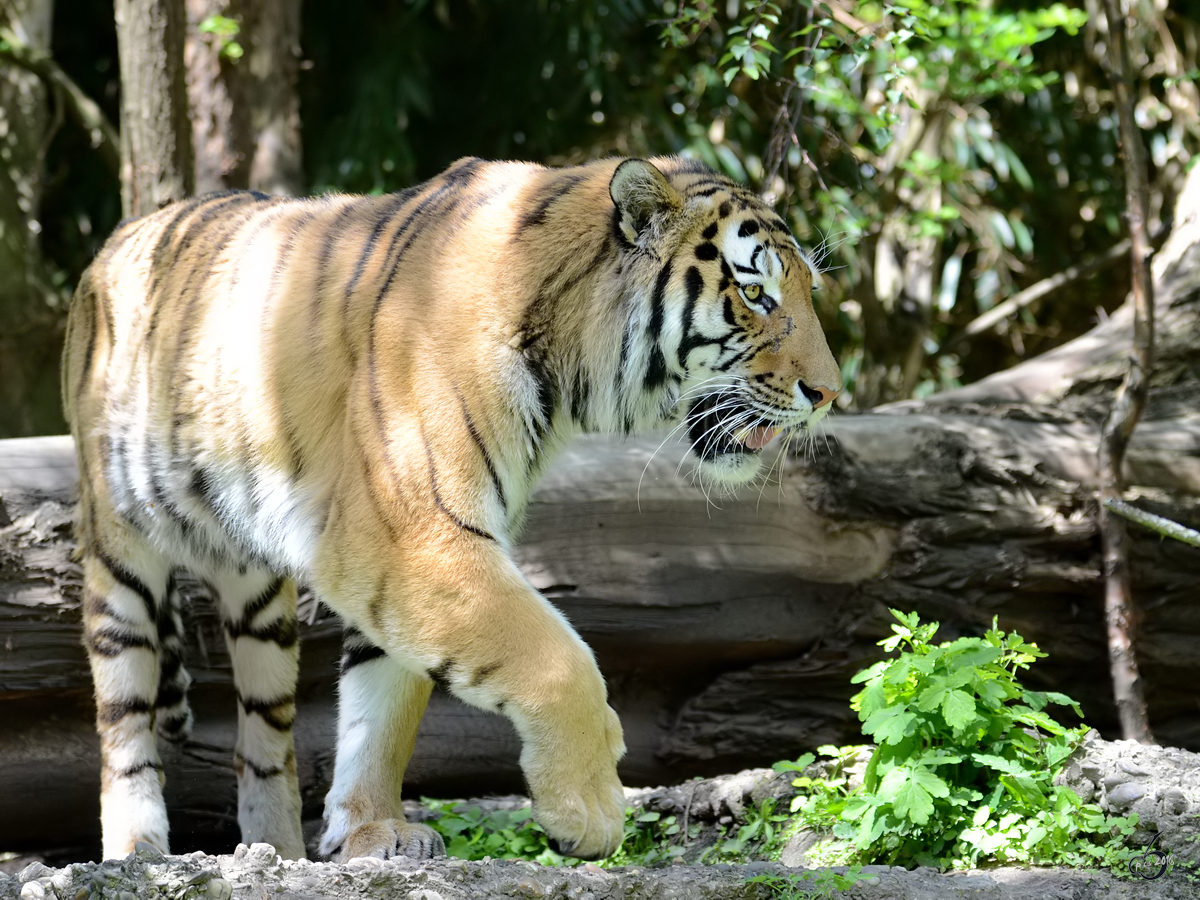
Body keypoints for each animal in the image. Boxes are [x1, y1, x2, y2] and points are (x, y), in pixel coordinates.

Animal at [60, 157, 840, 868]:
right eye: (755, 293)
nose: (828, 394)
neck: (566, 366)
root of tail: (110, 245)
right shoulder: (412, 533)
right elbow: (556, 658)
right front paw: (586, 811)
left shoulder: (406, 556)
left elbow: (382, 710)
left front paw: (372, 832)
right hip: (122, 557)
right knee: (123, 724)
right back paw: (137, 850)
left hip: (257, 600)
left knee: (263, 739)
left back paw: (274, 852)